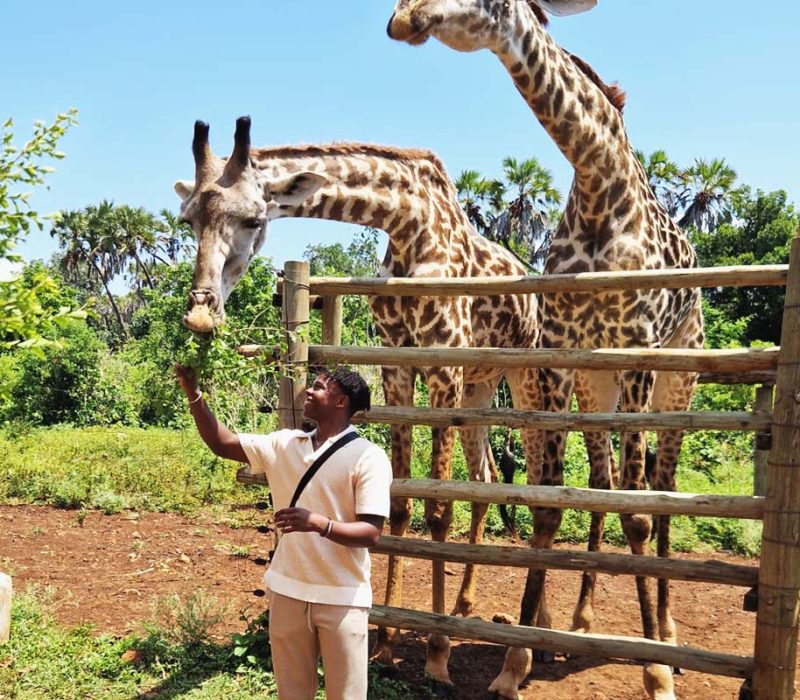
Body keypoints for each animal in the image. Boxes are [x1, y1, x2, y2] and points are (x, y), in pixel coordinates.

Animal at [173, 117, 545, 687]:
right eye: (188, 218)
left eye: (254, 218)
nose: (200, 315)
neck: (411, 226)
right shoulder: (398, 365)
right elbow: (400, 503)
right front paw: (387, 643)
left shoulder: (443, 363)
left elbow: (438, 508)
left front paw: (437, 654)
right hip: (479, 385)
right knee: (483, 477)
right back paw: (468, 606)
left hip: (517, 371)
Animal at [387, 2, 704, 699]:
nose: (403, 17)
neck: (598, 188)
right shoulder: (562, 355)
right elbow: (553, 500)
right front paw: (517, 661)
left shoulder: (637, 350)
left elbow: (638, 515)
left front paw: (655, 672)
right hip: (595, 385)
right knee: (605, 480)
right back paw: (583, 620)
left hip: (678, 373)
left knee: (662, 489)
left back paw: (667, 635)